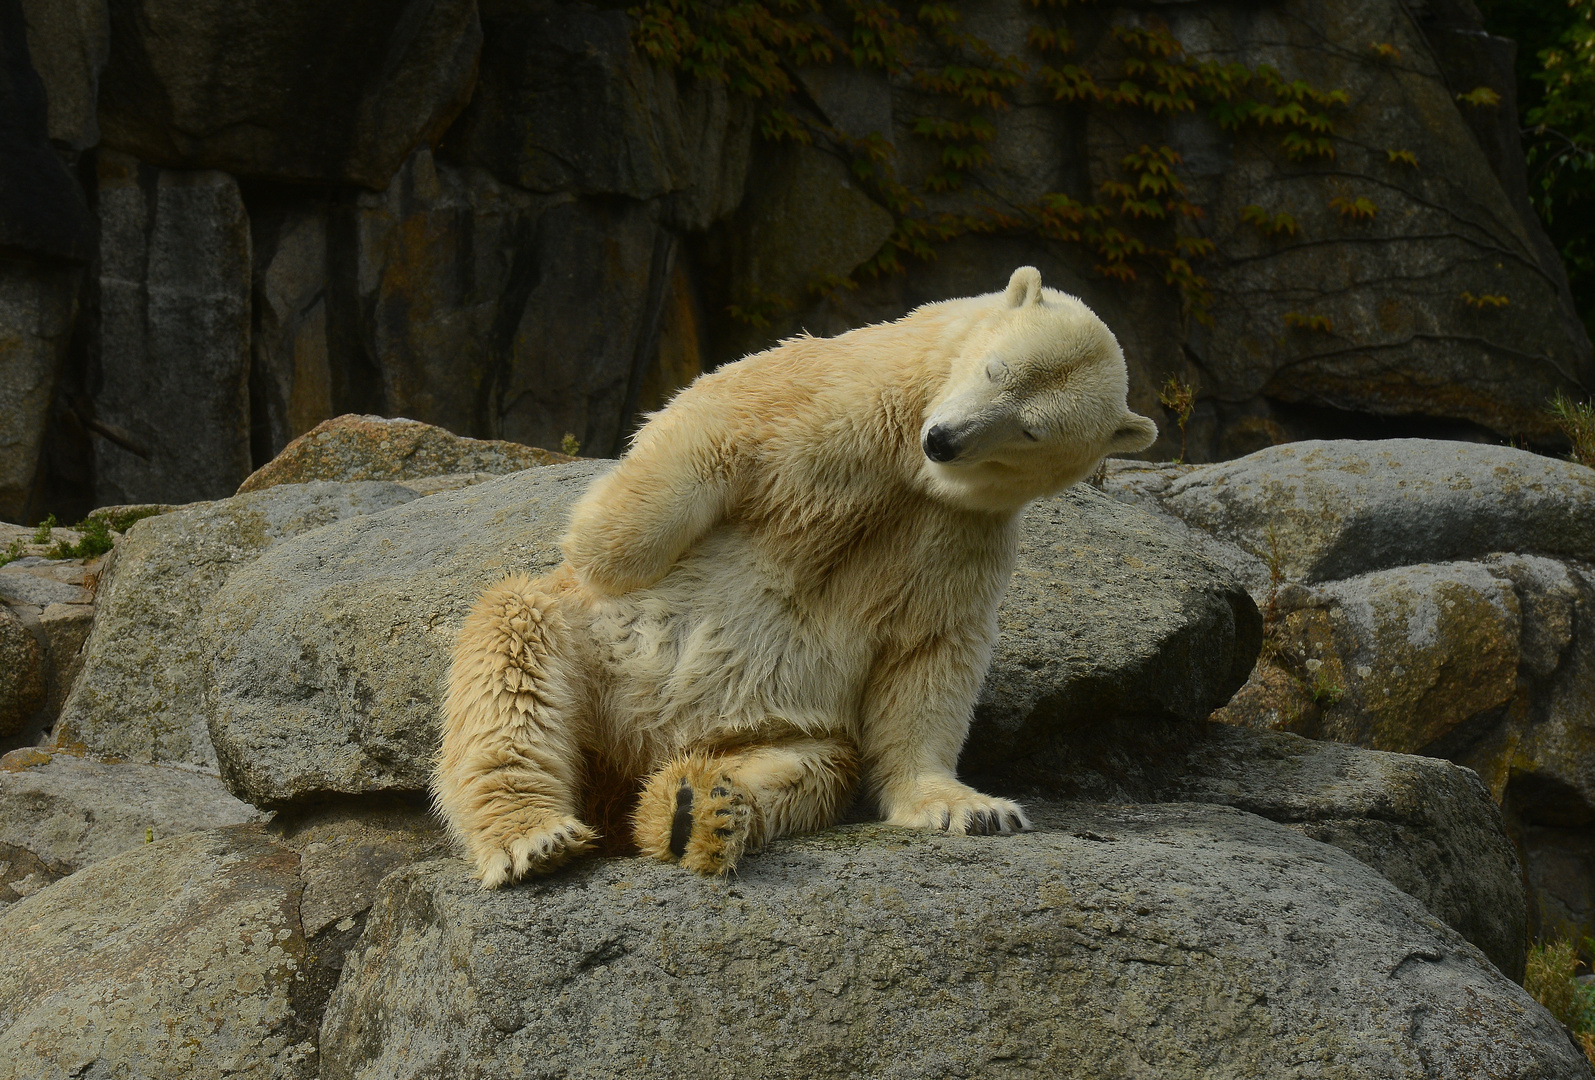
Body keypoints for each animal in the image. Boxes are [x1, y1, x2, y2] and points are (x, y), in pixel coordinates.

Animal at [437, 264, 1161, 880]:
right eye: (994, 367)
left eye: (1031, 429)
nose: (945, 440)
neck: (909, 465)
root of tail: (629, 759)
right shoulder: (832, 395)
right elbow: (710, 424)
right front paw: (603, 544)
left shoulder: (957, 535)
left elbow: (929, 652)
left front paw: (974, 809)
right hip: (588, 655)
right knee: (512, 661)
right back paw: (538, 835)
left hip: (783, 728)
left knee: (800, 775)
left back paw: (696, 810)